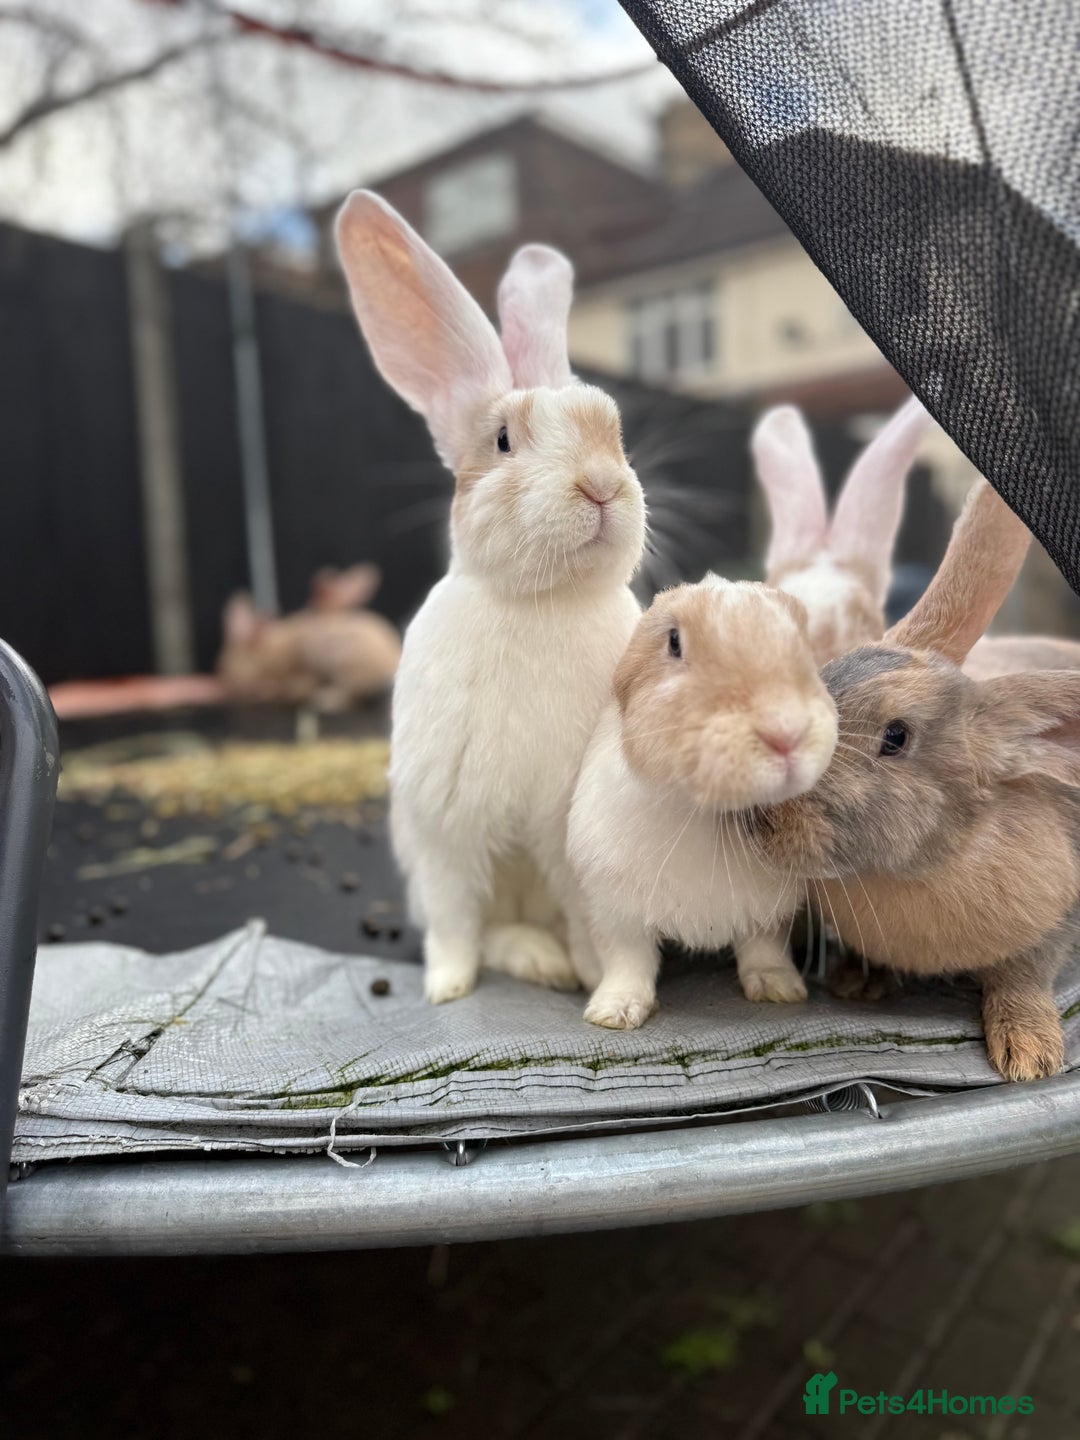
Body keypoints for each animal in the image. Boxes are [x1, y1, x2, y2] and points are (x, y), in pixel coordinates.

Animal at [335, 191, 647, 1004]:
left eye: (615, 431)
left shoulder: (563, 836)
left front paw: (596, 975)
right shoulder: (446, 830)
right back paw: (530, 962)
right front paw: (445, 989)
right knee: (492, 926)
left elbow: (588, 916)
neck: (540, 600)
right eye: (503, 440)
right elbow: (454, 922)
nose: (601, 485)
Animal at [567, 574, 838, 1029]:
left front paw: (781, 988)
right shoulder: (614, 909)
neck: (703, 812)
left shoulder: (771, 911)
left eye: (801, 640)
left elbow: (764, 949)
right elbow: (628, 961)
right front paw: (614, 1013)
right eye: (674, 642)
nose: (786, 731)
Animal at [751, 478, 1080, 1081]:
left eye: (896, 737)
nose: (761, 814)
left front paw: (1028, 1054)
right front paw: (856, 982)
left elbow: (1022, 977)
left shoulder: (1056, 922)